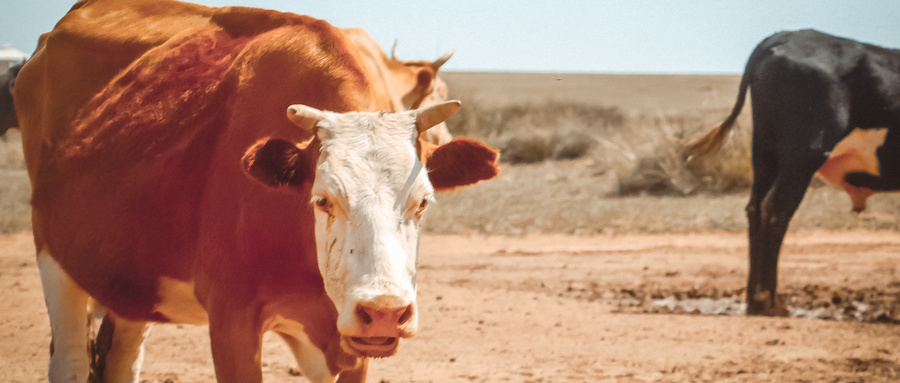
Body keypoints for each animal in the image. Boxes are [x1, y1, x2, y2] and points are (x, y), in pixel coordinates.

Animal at [12, 0, 500, 383]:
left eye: (423, 202)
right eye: (323, 200)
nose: (384, 311)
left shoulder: (354, 348)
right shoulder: (232, 323)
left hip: (132, 280)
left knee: (120, 359)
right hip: (54, 255)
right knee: (71, 361)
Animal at [684, 30, 900, 316]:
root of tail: (788, 35)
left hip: (765, 151)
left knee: (755, 208)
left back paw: (755, 301)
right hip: (803, 154)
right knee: (776, 207)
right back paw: (767, 301)